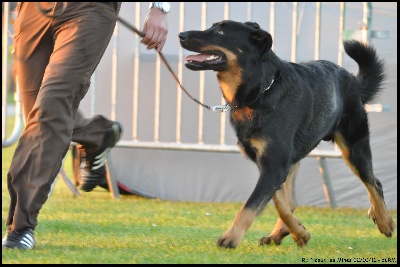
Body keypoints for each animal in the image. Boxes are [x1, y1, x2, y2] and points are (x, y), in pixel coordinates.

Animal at [180, 20, 396, 249]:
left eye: (220, 31)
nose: (180, 35)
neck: (260, 91)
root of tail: (353, 81)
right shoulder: (272, 166)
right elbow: (281, 205)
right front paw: (299, 232)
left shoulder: (274, 166)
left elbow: (251, 205)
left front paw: (231, 237)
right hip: (296, 160)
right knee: (291, 201)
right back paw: (278, 234)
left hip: (354, 148)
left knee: (374, 183)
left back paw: (384, 220)